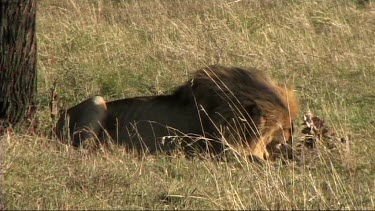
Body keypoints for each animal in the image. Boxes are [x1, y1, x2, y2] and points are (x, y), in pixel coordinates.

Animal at [55, 65, 300, 161]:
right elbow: (254, 160)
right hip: (96, 101)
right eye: (282, 131)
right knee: (83, 149)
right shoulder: (220, 151)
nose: (289, 142)